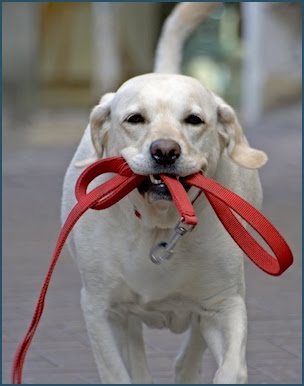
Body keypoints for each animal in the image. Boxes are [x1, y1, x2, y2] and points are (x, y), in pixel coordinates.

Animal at [60, 3, 268, 382]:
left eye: (194, 120)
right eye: (135, 119)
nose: (165, 151)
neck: (159, 225)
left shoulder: (224, 304)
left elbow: (231, 368)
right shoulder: (101, 310)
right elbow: (117, 372)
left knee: (190, 351)